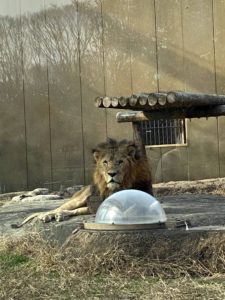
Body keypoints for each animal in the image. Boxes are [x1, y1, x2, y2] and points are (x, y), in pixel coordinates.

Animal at [11, 138, 153, 227]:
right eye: (105, 162)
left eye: (120, 162)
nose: (111, 174)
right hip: (78, 200)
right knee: (58, 208)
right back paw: (47, 215)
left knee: (74, 211)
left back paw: (60, 215)